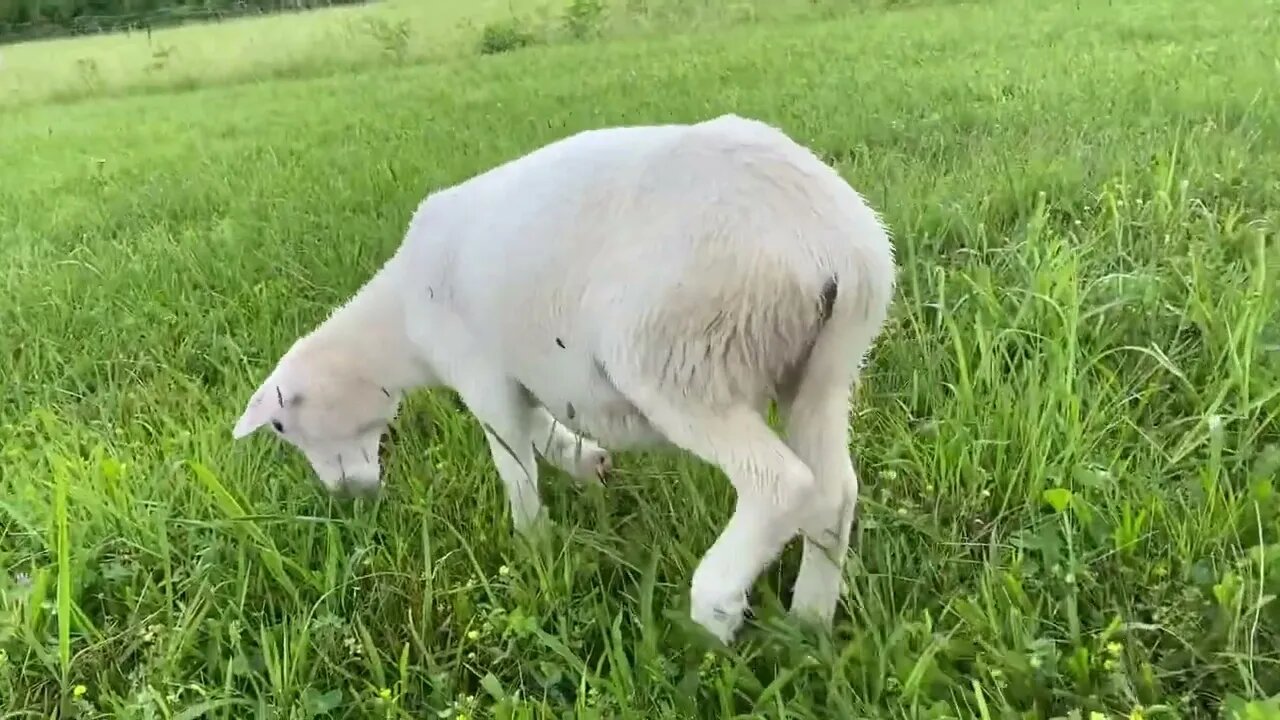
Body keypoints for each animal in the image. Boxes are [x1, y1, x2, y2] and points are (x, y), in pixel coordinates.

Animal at [235, 114, 906, 640]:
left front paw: (532, 546)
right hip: (824, 365)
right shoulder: (525, 368)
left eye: (282, 428)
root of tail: (828, 241)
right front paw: (588, 462)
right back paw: (809, 623)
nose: (347, 497)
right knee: (835, 490)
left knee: (783, 484)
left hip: (682, 355)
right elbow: (540, 428)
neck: (398, 324)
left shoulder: (479, 368)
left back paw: (712, 613)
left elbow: (512, 457)